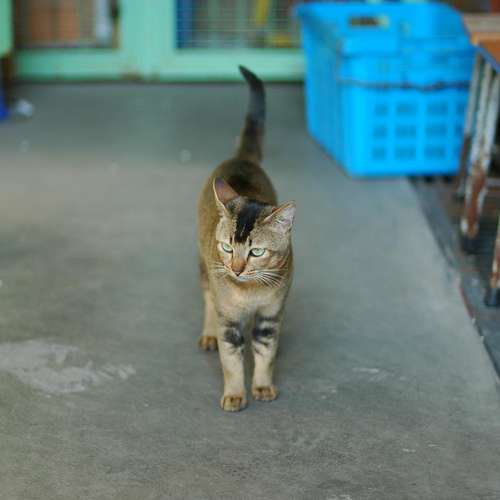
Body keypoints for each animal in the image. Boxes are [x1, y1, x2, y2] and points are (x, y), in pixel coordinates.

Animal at [197, 66, 295, 412]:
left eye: (256, 253)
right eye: (228, 247)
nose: (236, 269)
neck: (250, 294)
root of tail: (243, 159)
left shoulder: (270, 316)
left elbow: (265, 354)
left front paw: (263, 386)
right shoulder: (230, 321)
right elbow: (232, 361)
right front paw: (235, 394)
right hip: (203, 268)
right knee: (208, 299)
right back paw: (208, 334)